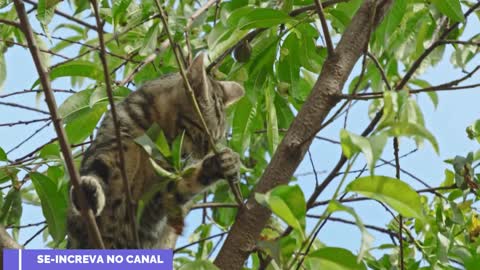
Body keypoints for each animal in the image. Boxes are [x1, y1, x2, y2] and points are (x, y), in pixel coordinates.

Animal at [67, 53, 244, 249]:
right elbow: (96, 173)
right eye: (200, 138)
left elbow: (182, 186)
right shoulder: (107, 149)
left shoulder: (156, 201)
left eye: (211, 146)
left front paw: (220, 164)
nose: (196, 159)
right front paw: (89, 191)